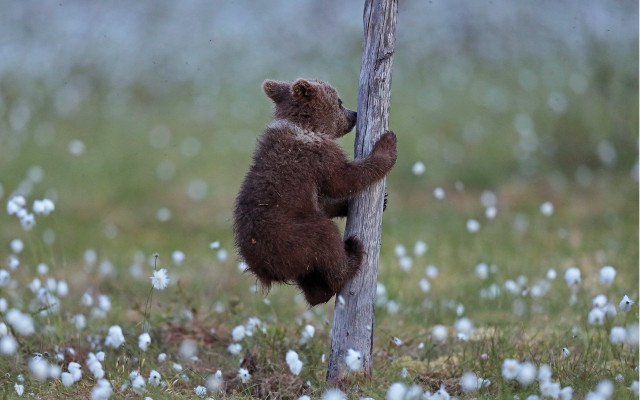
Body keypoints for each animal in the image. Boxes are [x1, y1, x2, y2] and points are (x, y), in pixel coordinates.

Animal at [233, 78, 397, 306]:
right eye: (339, 101)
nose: (354, 114)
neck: (306, 126)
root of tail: (263, 271)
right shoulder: (316, 157)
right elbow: (344, 178)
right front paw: (387, 144)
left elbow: (325, 199)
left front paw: (376, 202)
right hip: (292, 236)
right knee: (326, 236)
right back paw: (352, 255)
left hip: (295, 256)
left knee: (311, 278)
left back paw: (320, 292)